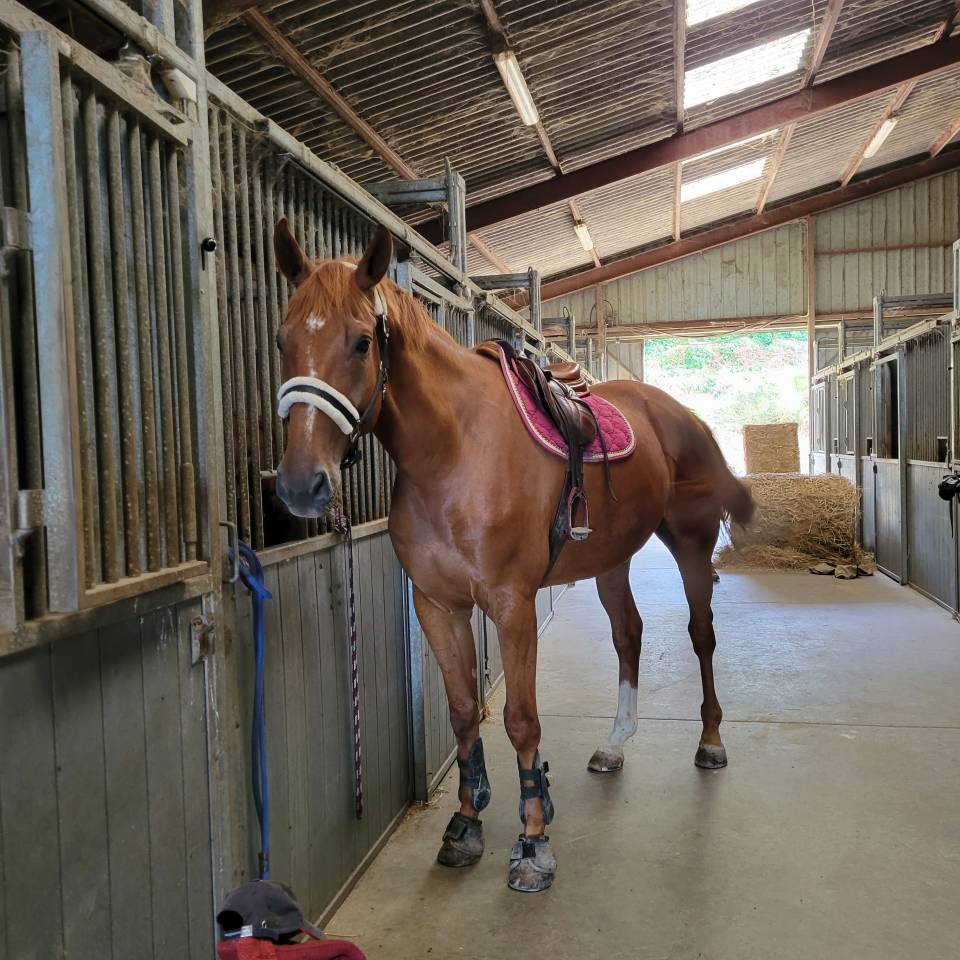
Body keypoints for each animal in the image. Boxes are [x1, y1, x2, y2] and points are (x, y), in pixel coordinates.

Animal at [271, 220, 753, 893]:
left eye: (362, 342)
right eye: (283, 340)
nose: (300, 484)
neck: (453, 453)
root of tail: (680, 412)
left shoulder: (512, 605)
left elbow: (522, 719)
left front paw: (533, 841)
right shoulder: (437, 605)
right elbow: (462, 713)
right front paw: (467, 824)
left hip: (690, 543)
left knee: (702, 634)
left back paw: (710, 742)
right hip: (611, 558)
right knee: (628, 634)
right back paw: (615, 744)